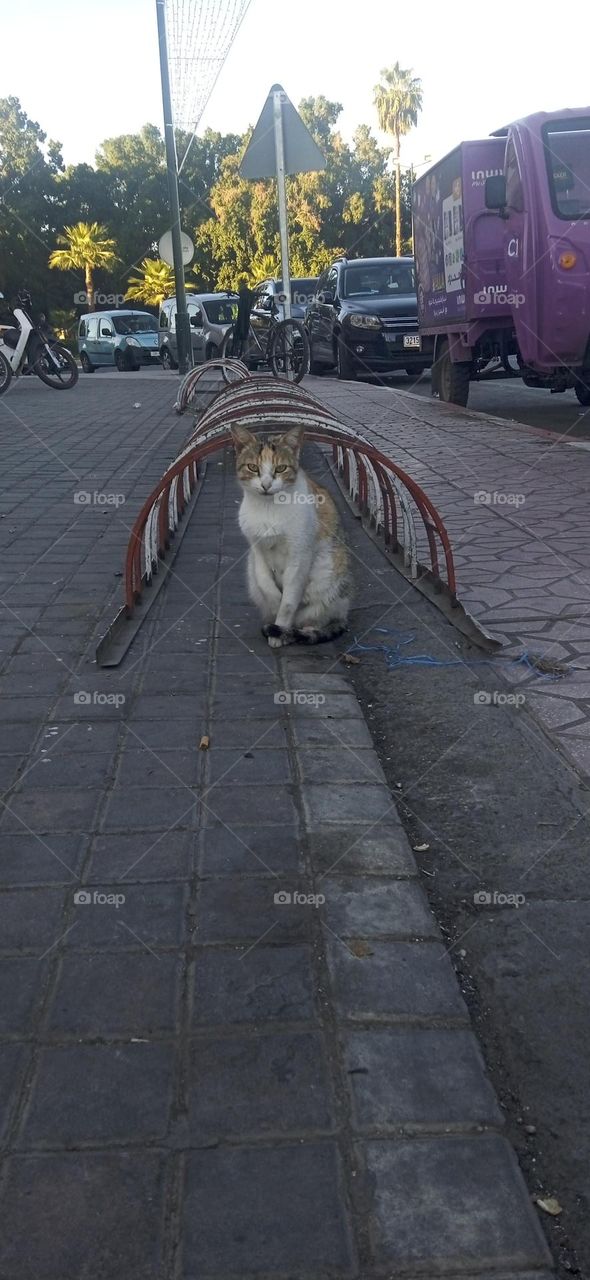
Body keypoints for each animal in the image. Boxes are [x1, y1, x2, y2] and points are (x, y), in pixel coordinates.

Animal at [229, 424, 350, 650]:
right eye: (253, 467)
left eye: (280, 469)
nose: (266, 485)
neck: (268, 508)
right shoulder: (256, 552)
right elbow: (267, 587)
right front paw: (274, 607)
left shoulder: (299, 556)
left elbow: (288, 602)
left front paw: (279, 631)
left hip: (328, 576)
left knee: (316, 618)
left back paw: (299, 631)